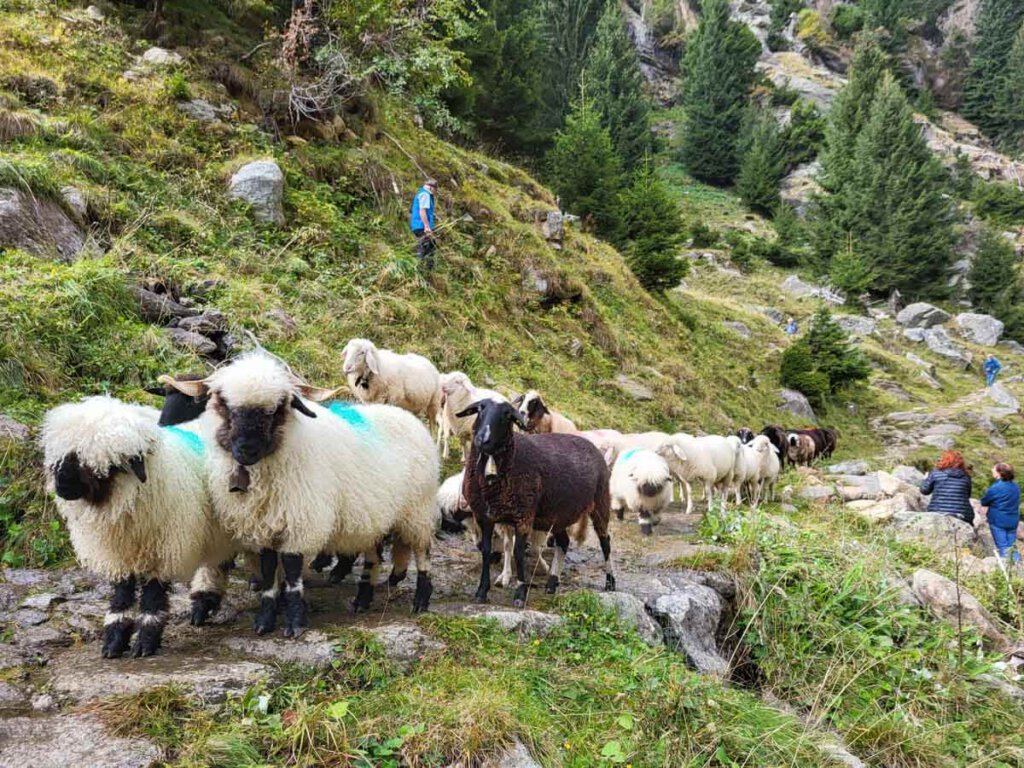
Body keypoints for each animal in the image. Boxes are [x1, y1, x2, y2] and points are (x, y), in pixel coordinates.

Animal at [40, 393, 233, 659]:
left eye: (102, 464)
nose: (61, 485)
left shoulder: (164, 549)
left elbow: (152, 597)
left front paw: (145, 642)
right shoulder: (120, 555)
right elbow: (122, 594)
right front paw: (114, 640)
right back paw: (203, 603)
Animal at [157, 354, 438, 638]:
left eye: (276, 409)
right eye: (224, 403)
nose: (246, 450)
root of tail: (407, 417)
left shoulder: (300, 521)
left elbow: (292, 574)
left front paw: (295, 623)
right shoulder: (263, 528)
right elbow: (268, 573)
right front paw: (265, 621)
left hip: (418, 509)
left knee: (423, 552)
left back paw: (421, 601)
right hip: (375, 517)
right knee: (372, 556)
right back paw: (363, 600)